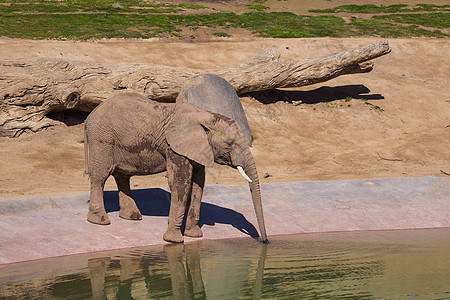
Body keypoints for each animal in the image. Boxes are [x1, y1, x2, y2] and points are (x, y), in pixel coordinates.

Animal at [84, 93, 268, 244]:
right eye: (230, 143)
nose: (264, 241)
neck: (206, 115)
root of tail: (90, 116)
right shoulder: (174, 147)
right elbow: (180, 182)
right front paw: (174, 240)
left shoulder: (197, 149)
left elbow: (198, 184)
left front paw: (194, 235)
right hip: (102, 138)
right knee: (101, 176)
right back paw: (100, 221)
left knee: (122, 176)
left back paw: (132, 217)